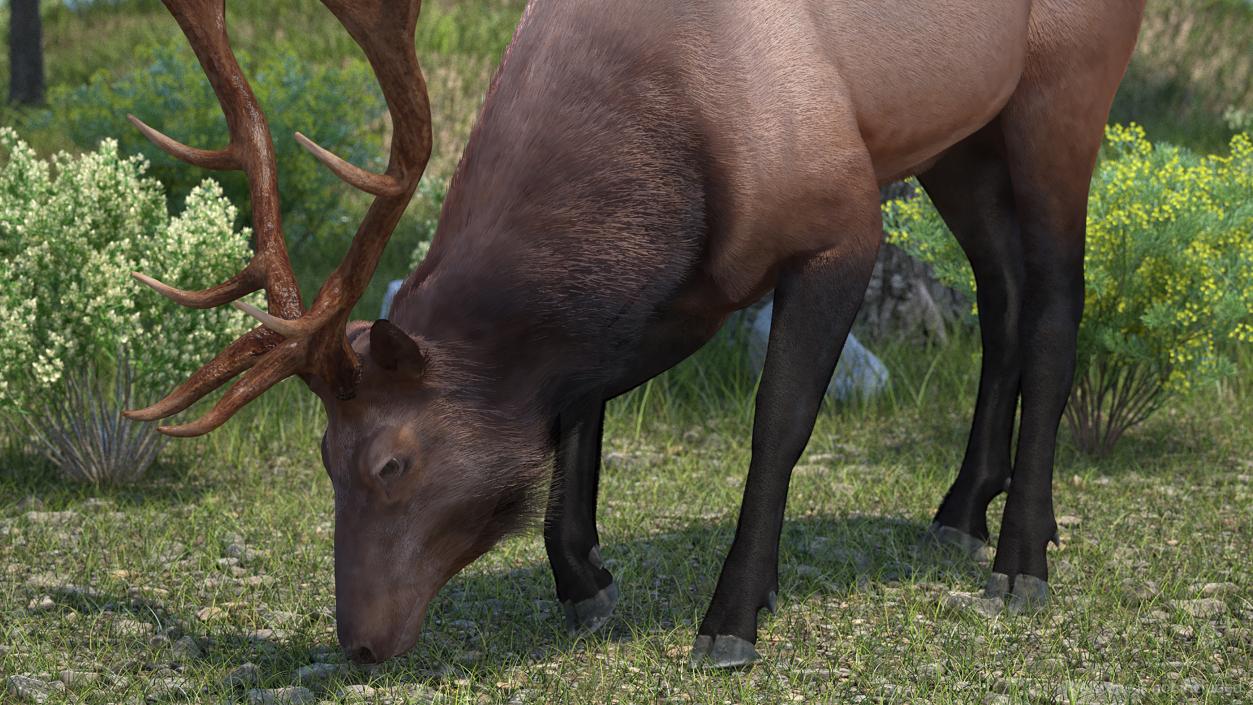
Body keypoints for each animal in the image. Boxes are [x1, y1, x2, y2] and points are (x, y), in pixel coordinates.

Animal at [129, 0, 1147, 666]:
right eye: (323, 459)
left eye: (391, 461)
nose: (360, 642)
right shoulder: (682, 284)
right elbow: (579, 402)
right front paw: (584, 578)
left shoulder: (840, 218)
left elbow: (777, 423)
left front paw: (731, 615)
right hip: (960, 138)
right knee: (1001, 291)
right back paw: (967, 509)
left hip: (1065, 85)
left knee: (1056, 300)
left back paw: (1019, 558)